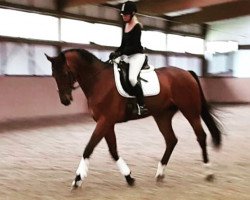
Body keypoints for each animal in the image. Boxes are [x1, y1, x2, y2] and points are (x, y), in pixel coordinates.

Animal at [45, 47, 223, 188]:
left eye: (65, 73)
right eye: (53, 74)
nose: (65, 100)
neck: (98, 81)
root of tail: (187, 73)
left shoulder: (105, 121)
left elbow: (89, 148)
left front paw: (77, 179)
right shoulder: (107, 123)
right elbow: (113, 151)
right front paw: (129, 177)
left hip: (189, 111)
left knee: (201, 136)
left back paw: (208, 173)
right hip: (162, 115)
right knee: (171, 140)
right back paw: (160, 174)